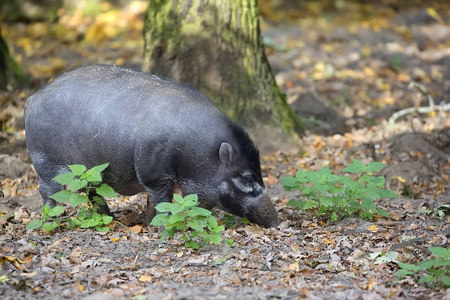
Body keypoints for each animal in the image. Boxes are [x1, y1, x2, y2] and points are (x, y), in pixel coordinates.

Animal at [25, 65, 282, 227]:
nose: (277, 221)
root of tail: (33, 97)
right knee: (48, 190)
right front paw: (158, 228)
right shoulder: (154, 174)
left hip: (90, 170)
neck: (199, 154)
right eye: (246, 178)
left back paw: (110, 220)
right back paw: (53, 220)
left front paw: (148, 225)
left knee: (92, 191)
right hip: (46, 161)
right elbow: (161, 202)